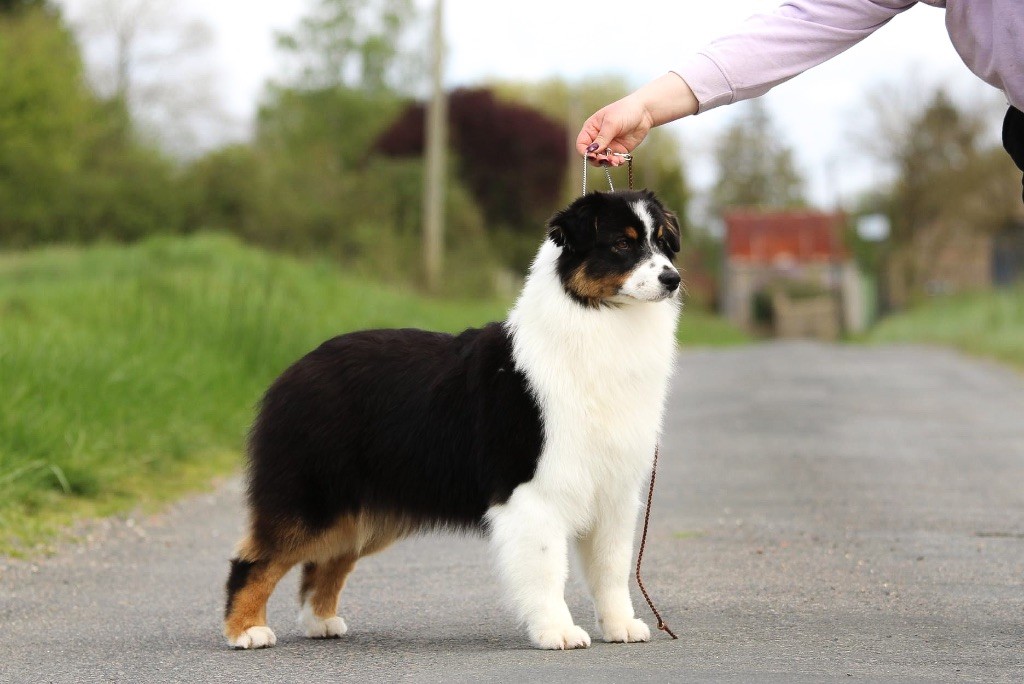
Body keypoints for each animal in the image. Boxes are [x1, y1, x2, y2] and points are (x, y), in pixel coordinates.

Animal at [224, 189, 679, 651]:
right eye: (621, 244)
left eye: (662, 242)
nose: (673, 279)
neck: (602, 319)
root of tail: (292, 370)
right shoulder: (534, 489)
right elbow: (548, 570)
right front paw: (558, 631)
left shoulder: (614, 491)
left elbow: (612, 569)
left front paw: (621, 626)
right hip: (312, 497)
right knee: (254, 558)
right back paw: (246, 630)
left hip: (361, 512)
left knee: (325, 563)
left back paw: (320, 622)